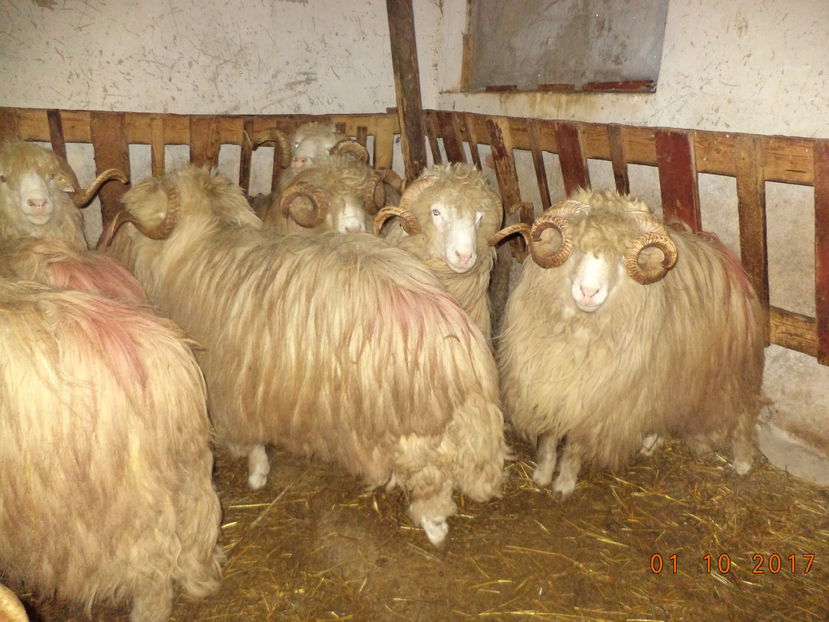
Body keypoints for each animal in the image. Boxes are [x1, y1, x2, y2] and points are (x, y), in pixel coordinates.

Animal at [495, 189, 766, 498]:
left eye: (623, 257)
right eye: (575, 247)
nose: (588, 292)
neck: (579, 330)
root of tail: (723, 255)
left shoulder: (598, 402)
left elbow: (575, 445)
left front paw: (564, 483)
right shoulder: (551, 388)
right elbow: (549, 437)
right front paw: (542, 474)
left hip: (731, 370)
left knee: (743, 412)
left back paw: (743, 462)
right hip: (670, 374)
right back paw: (652, 442)